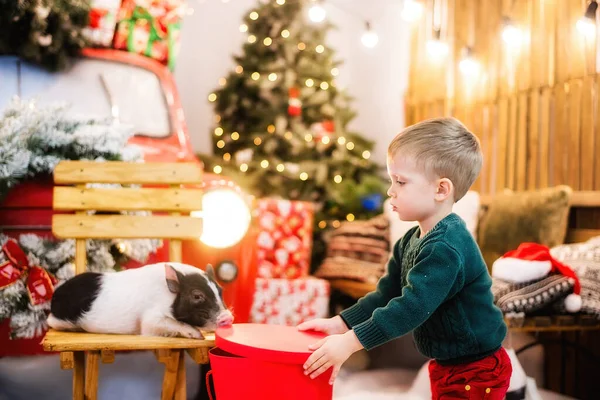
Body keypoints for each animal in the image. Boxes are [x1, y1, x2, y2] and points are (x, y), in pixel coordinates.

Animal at [47, 262, 233, 338]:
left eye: (221, 291)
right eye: (197, 296)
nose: (227, 317)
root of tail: (56, 294)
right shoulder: (150, 320)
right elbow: (157, 325)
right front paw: (197, 335)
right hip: (59, 320)